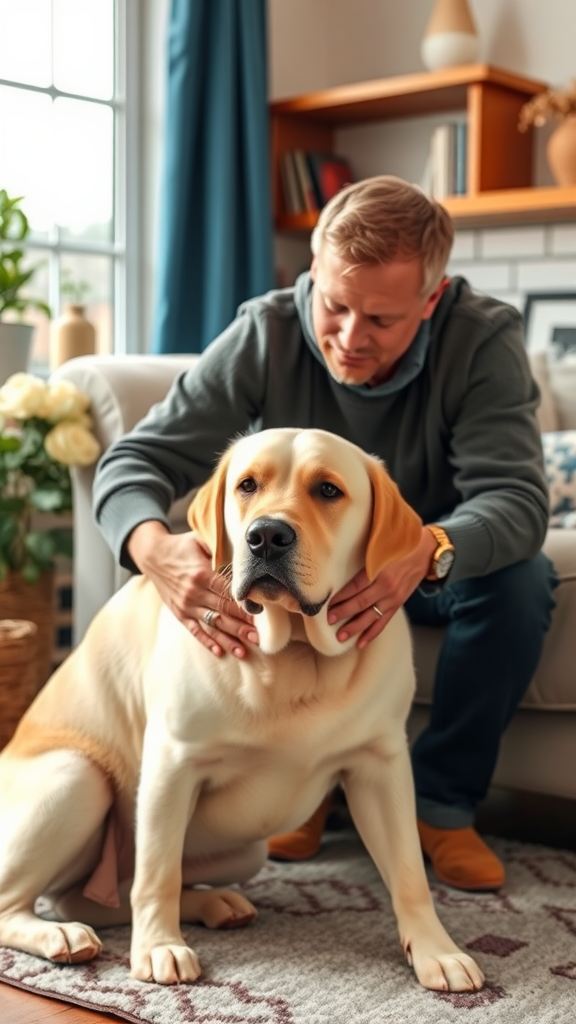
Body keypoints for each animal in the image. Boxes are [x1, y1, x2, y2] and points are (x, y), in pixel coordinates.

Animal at [0, 425, 481, 991]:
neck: (295, 652)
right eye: (247, 485)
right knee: (30, 901)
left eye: (328, 490)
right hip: (77, 777)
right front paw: (159, 947)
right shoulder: (172, 761)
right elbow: (157, 872)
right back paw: (64, 935)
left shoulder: (380, 764)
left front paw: (437, 950)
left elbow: (409, 871)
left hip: (248, 850)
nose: (266, 536)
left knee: (92, 895)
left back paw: (212, 904)